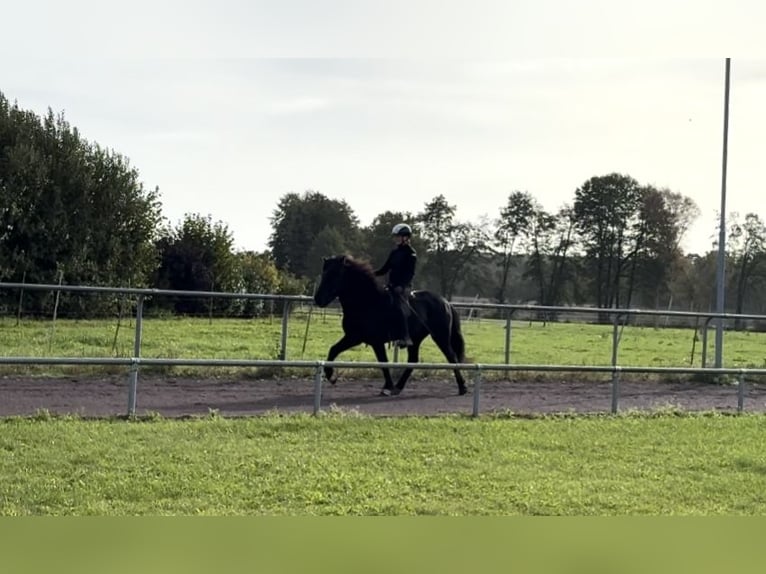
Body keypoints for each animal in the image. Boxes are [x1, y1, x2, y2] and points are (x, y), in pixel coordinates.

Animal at [312, 254, 468, 396]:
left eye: (335, 274)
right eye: (324, 273)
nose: (318, 299)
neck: (366, 301)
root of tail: (446, 302)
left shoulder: (367, 340)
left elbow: (383, 363)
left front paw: (387, 387)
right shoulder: (356, 338)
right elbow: (334, 350)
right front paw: (330, 375)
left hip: (440, 336)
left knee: (452, 357)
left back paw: (462, 387)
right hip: (416, 339)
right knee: (413, 360)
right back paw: (399, 387)